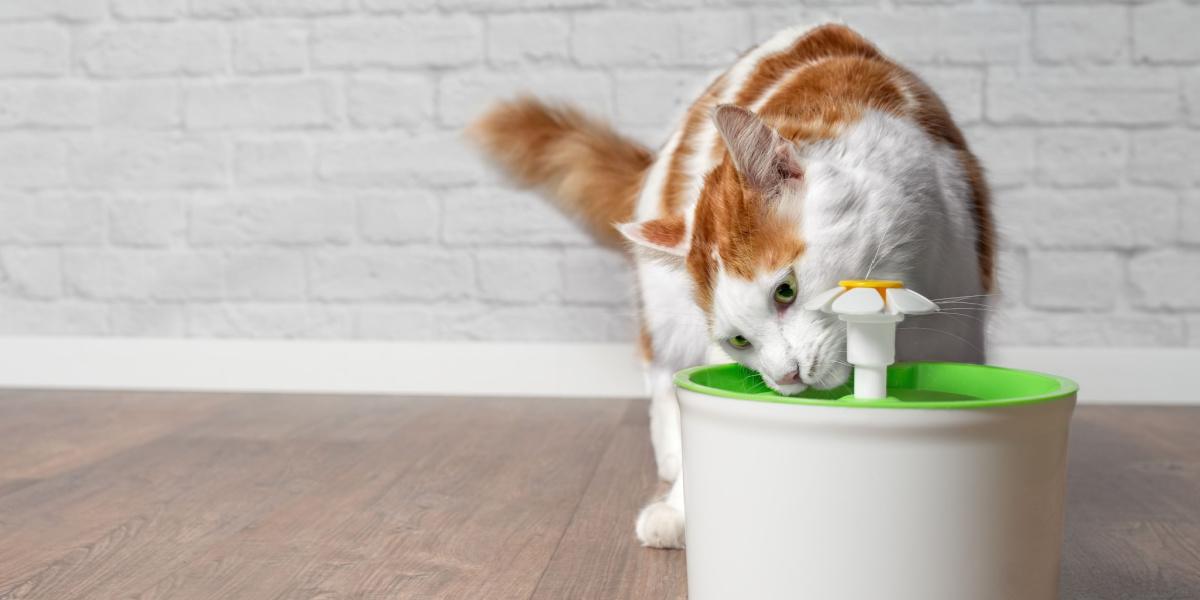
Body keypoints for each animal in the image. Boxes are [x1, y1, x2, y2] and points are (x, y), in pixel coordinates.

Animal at [468, 22, 993, 549]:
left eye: (785, 291)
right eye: (739, 340)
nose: (787, 375)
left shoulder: (958, 314)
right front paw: (680, 508)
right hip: (663, 309)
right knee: (660, 375)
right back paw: (672, 456)